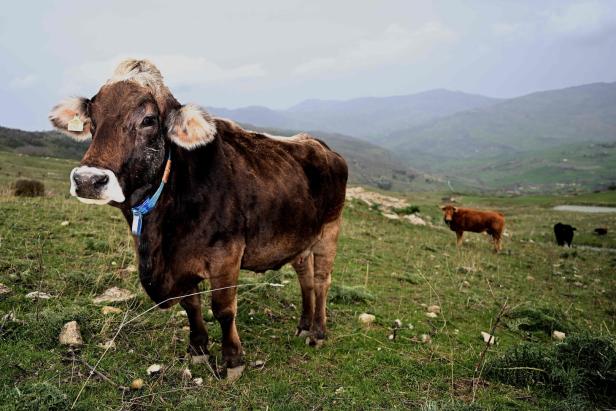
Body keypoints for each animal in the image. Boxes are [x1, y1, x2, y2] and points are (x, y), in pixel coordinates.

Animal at [49, 59, 346, 382]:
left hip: (329, 230)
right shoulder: (182, 262)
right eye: (92, 117)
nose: (88, 180)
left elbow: (223, 309)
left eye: (148, 119)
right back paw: (304, 325)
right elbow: (191, 304)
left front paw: (232, 359)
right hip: (300, 238)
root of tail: (320, 145)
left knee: (321, 280)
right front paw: (198, 348)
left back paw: (317, 332)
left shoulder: (227, 254)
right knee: (305, 278)